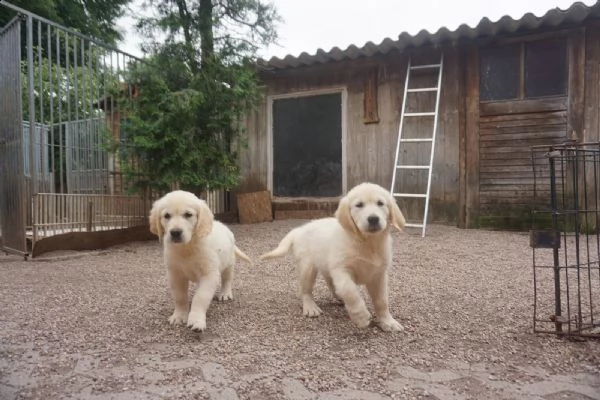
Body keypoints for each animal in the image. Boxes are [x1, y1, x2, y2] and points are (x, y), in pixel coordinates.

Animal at [151, 190, 252, 332]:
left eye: (188, 215)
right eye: (166, 216)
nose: (175, 232)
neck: (187, 247)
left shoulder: (209, 274)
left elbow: (200, 297)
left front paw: (196, 320)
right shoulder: (175, 275)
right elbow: (179, 297)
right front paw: (179, 315)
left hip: (229, 264)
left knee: (227, 280)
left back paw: (225, 293)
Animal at [258, 181, 406, 332]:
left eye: (380, 203)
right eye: (359, 205)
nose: (373, 219)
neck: (366, 242)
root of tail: (299, 229)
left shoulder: (378, 274)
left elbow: (381, 301)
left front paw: (387, 321)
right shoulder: (341, 269)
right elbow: (350, 291)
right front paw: (361, 317)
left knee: (330, 282)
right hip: (307, 267)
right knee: (306, 290)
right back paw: (310, 307)